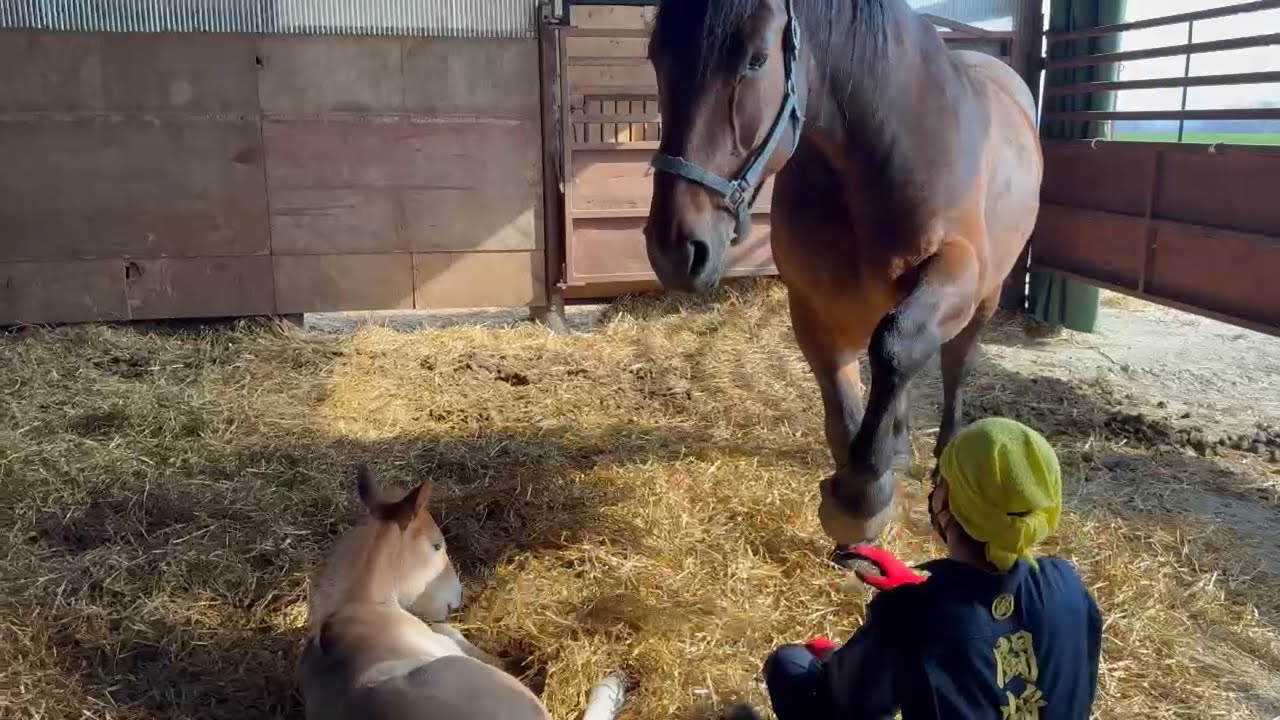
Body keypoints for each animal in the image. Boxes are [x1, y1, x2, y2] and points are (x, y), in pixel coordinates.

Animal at [643, 0, 1042, 549]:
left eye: (756, 59)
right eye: (655, 56)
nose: (675, 250)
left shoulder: (957, 270)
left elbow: (897, 347)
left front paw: (863, 495)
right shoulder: (814, 303)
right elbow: (845, 395)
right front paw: (856, 496)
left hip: (986, 296)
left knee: (953, 364)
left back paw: (945, 460)